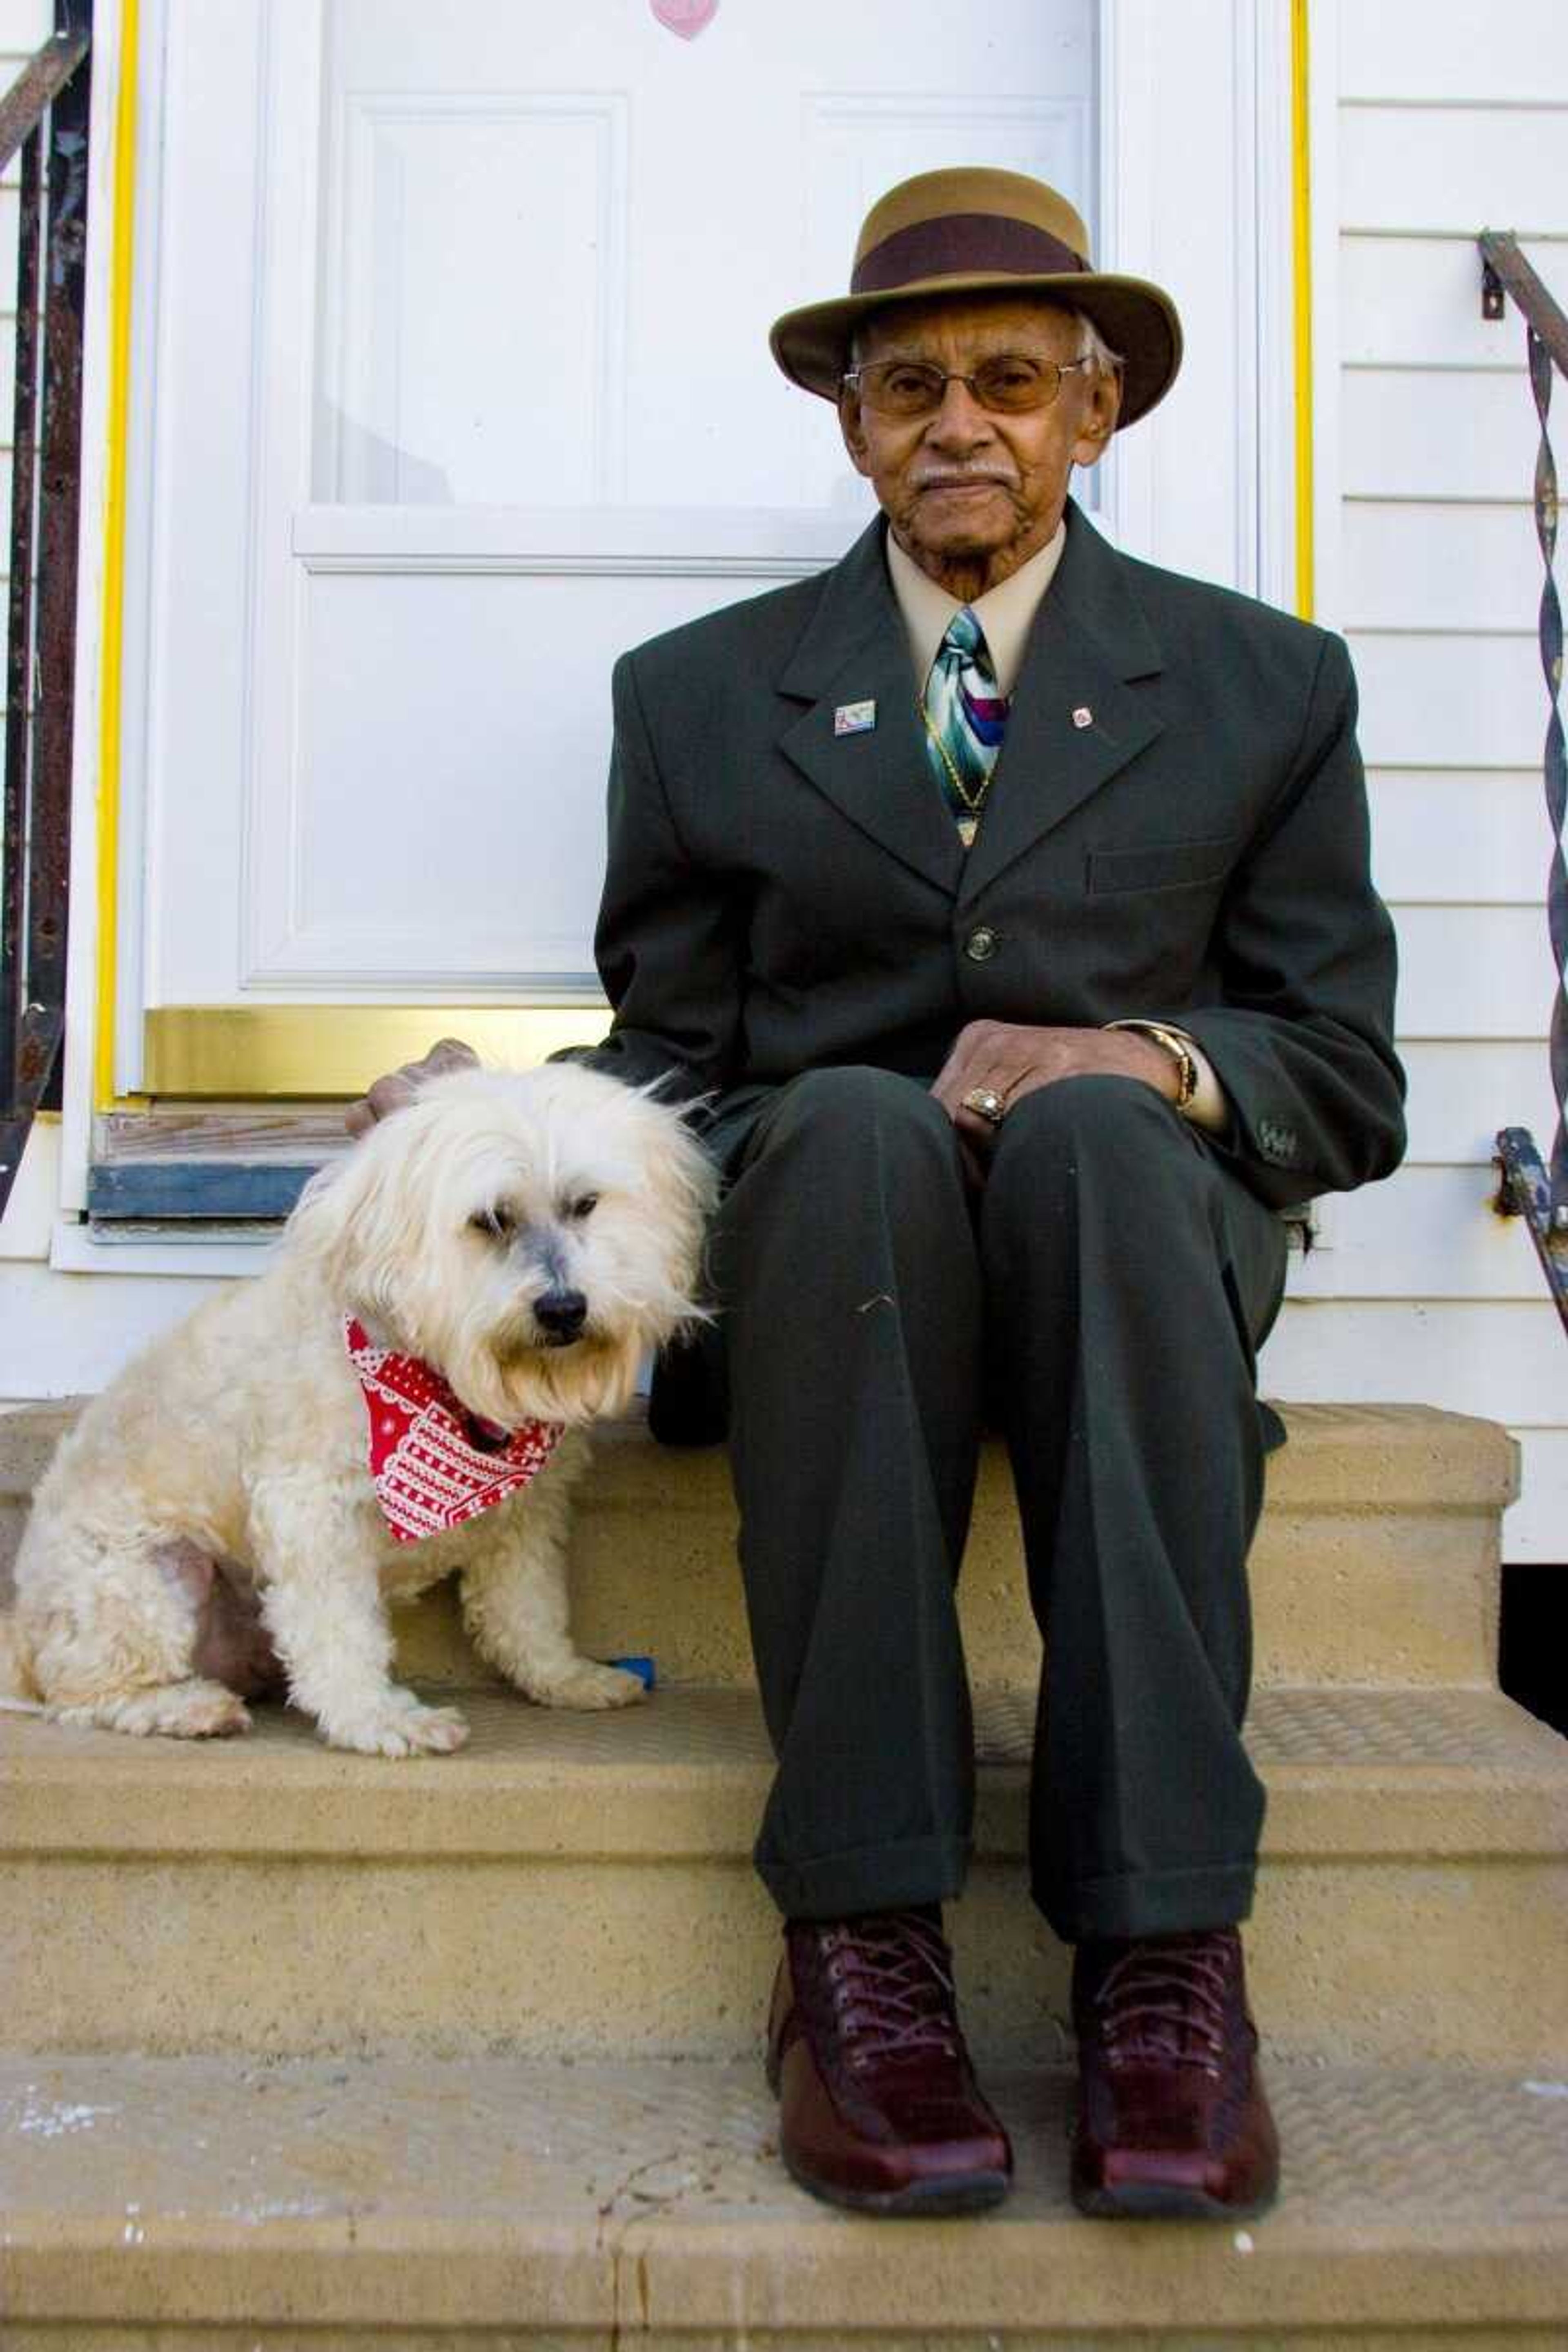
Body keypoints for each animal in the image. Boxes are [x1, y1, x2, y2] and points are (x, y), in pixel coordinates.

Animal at [0, 1063, 710, 1750]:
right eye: (489, 1221)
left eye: (584, 1205)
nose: (564, 1309)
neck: (447, 1385)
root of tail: (25, 1634)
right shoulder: (311, 1510)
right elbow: (339, 1633)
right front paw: (379, 1720)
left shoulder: (527, 1517)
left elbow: (527, 1613)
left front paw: (567, 1679)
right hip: (143, 1580)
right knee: (85, 1696)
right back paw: (187, 1708)